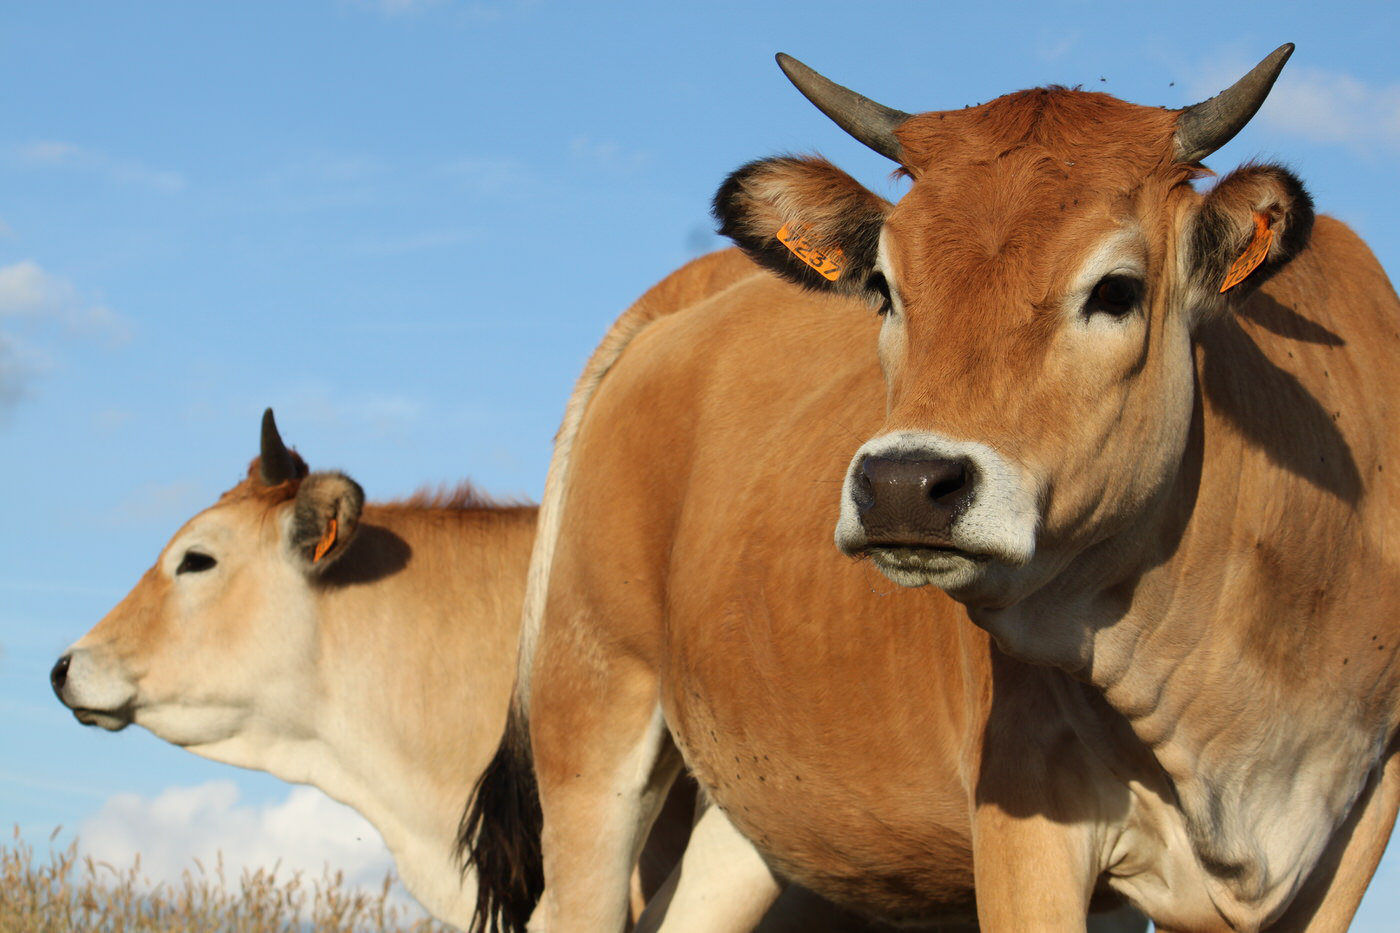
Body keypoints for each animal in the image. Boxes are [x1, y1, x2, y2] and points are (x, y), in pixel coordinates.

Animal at [467, 47, 1400, 930]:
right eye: (884, 286)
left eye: (1117, 289)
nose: (905, 484)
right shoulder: (1024, 821)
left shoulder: (1351, 835)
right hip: (592, 720)